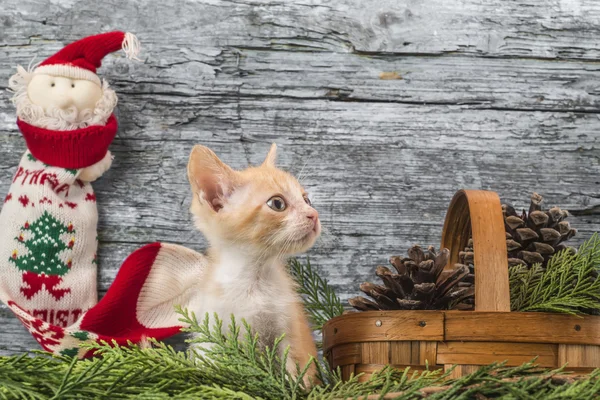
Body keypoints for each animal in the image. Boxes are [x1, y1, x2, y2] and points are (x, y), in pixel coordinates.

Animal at [186, 145, 318, 384]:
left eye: (307, 200)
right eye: (277, 203)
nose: (314, 215)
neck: (253, 279)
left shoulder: (289, 331)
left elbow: (293, 371)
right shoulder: (209, 334)